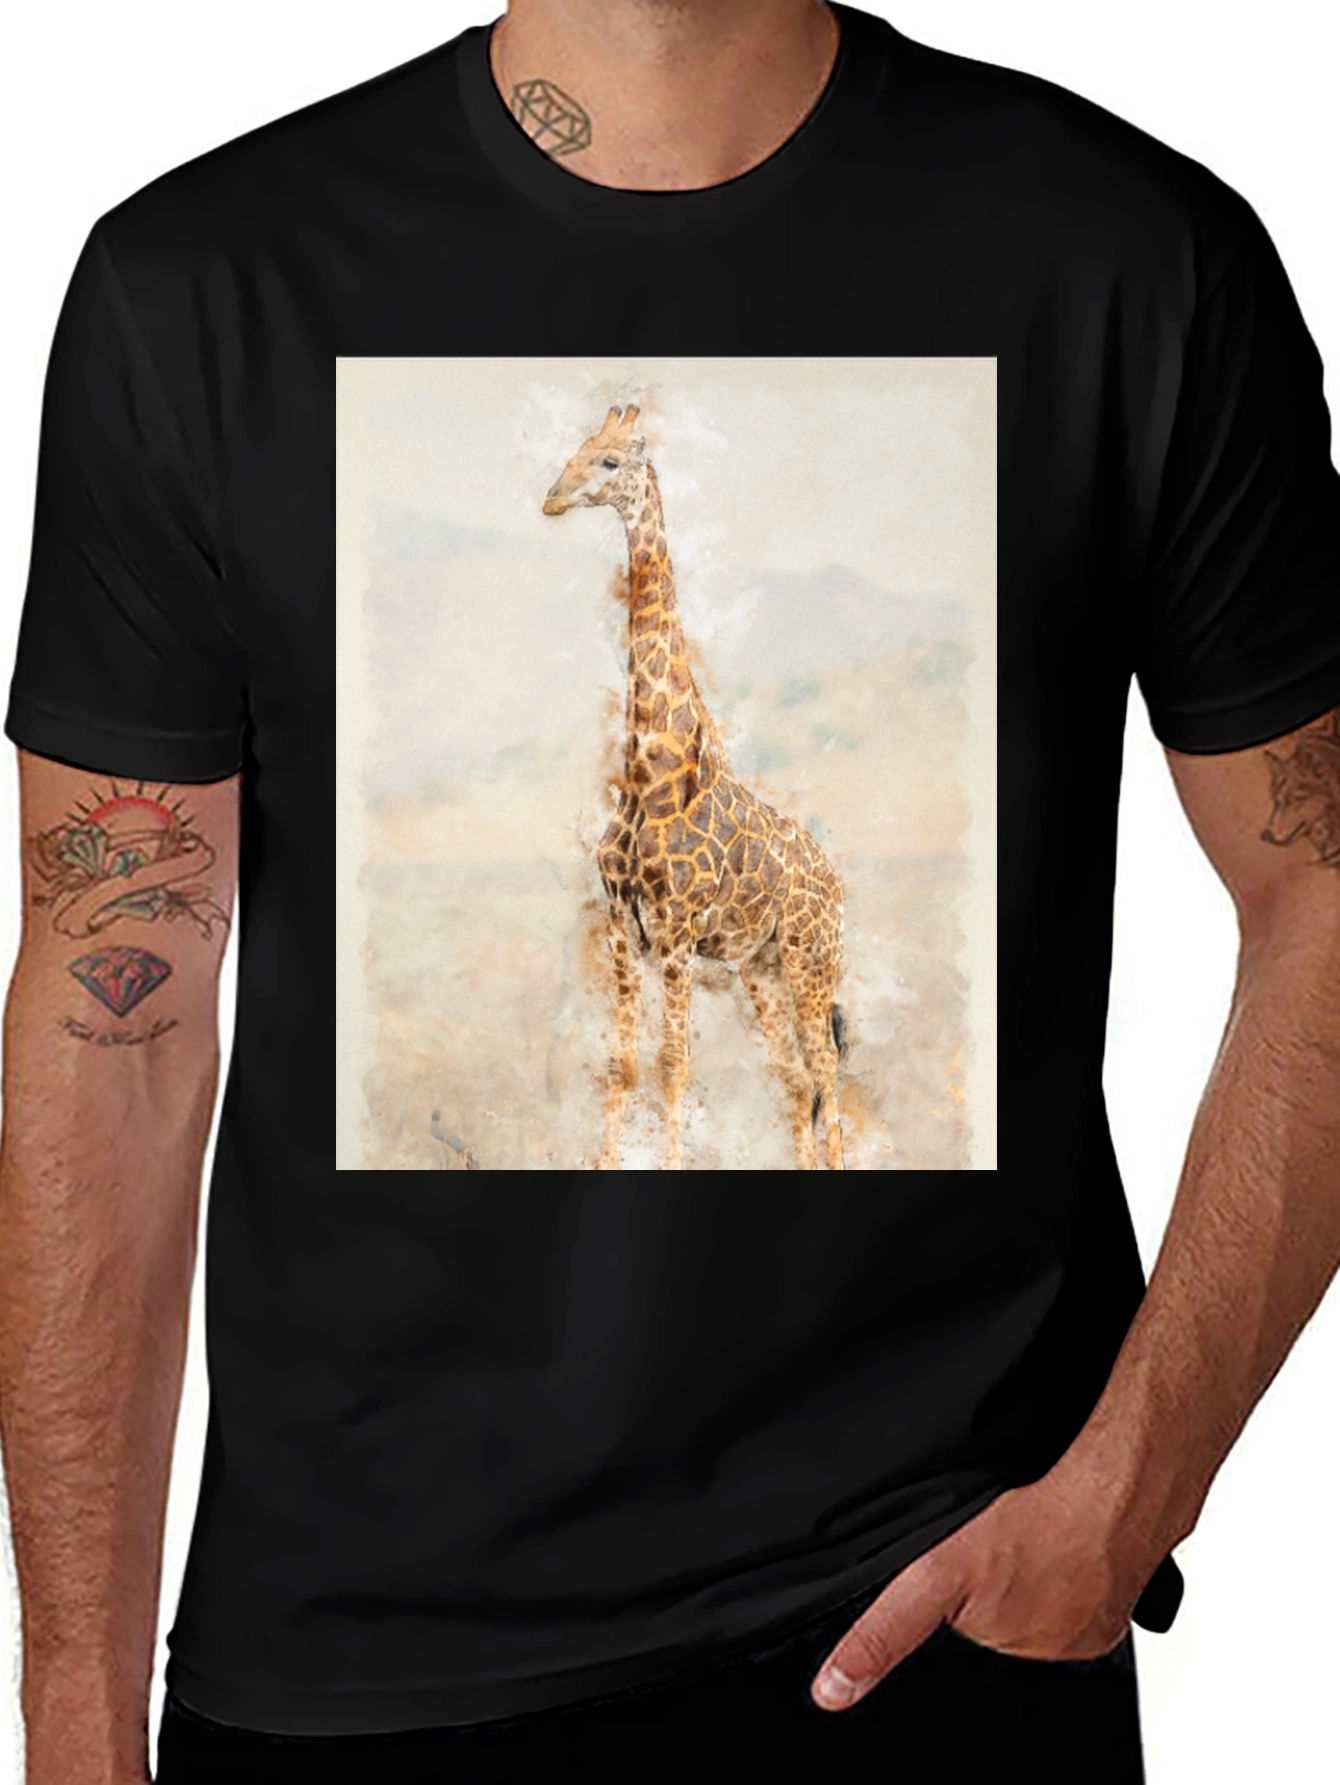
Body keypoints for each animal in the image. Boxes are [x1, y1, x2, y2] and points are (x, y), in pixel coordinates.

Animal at [542, 403, 847, 1171]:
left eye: (611, 460)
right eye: (577, 448)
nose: (552, 498)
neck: (649, 777)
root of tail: (836, 886)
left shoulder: (677, 931)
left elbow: (674, 1063)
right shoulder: (622, 927)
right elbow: (623, 1064)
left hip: (811, 956)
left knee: (827, 1072)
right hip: (760, 967)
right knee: (797, 1079)